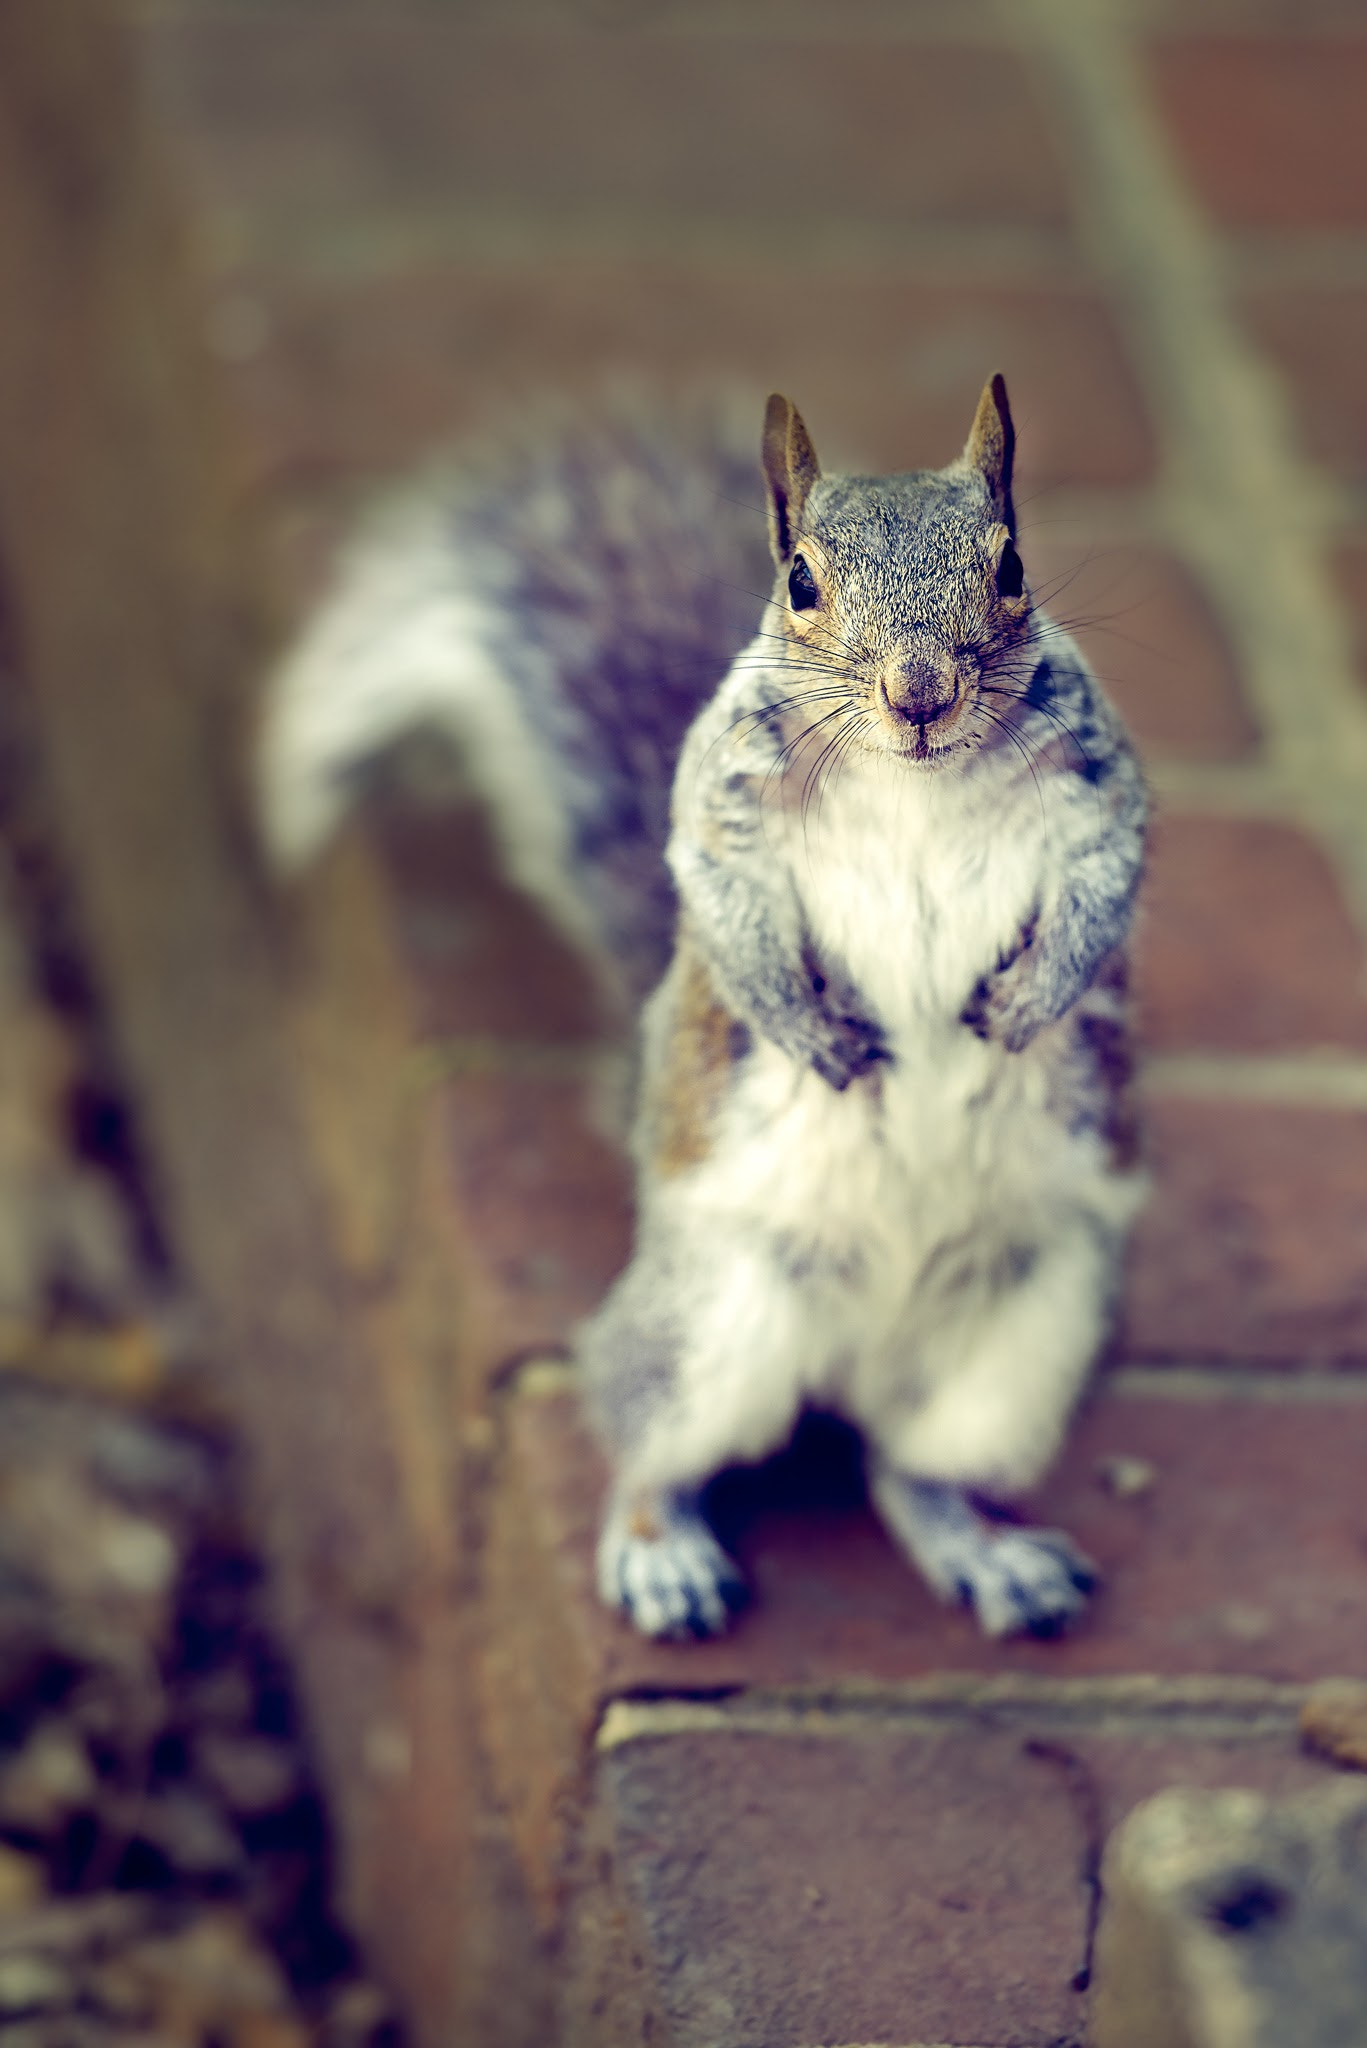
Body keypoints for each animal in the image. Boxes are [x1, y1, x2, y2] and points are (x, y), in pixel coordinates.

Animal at [260, 376, 1149, 1642]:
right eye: (799, 583)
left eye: (1012, 564)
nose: (918, 695)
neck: (915, 779)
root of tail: (851, 1354)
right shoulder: (720, 813)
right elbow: (725, 909)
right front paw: (815, 1034)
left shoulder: (1096, 794)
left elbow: (1102, 885)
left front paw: (1030, 1000)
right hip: (708, 1327)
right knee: (646, 1440)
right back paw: (658, 1549)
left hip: (1017, 1343)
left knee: (906, 1466)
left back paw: (982, 1551)